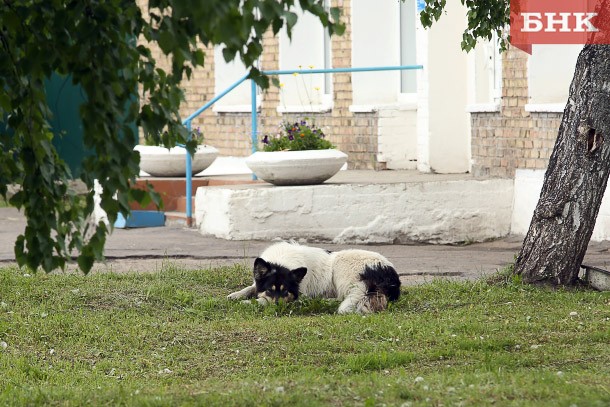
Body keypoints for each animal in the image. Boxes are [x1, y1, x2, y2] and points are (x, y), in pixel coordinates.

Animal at [228, 242, 400, 316]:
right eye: (270, 289)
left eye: (285, 291)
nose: (278, 308)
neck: (281, 261)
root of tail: (388, 272)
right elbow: (250, 287)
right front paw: (236, 295)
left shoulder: (299, 295)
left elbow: (263, 299)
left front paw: (250, 302)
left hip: (342, 270)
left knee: (342, 297)